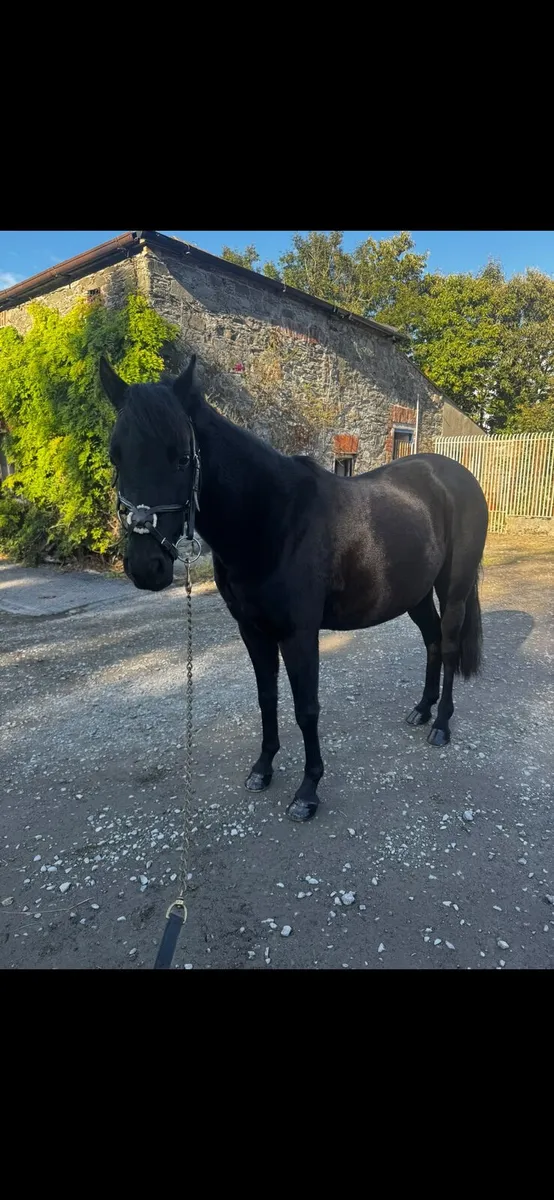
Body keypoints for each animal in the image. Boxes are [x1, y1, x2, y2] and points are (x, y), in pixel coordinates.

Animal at [100, 354, 489, 822]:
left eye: (182, 458)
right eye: (116, 456)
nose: (146, 567)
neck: (273, 518)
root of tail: (457, 476)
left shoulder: (300, 634)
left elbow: (306, 708)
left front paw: (308, 791)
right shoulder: (253, 631)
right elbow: (267, 697)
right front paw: (263, 769)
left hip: (453, 590)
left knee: (447, 648)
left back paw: (442, 725)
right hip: (414, 593)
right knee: (431, 642)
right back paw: (422, 709)